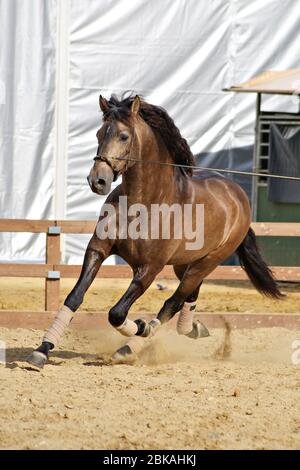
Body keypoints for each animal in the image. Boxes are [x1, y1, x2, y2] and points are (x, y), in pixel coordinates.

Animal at [27, 93, 282, 370]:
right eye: (98, 133)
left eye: (123, 136)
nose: (98, 181)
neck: (144, 203)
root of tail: (238, 195)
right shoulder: (98, 249)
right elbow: (74, 297)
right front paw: (41, 351)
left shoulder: (149, 268)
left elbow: (117, 313)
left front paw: (141, 328)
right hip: (186, 263)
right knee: (189, 295)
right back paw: (194, 328)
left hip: (209, 261)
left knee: (173, 302)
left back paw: (130, 347)